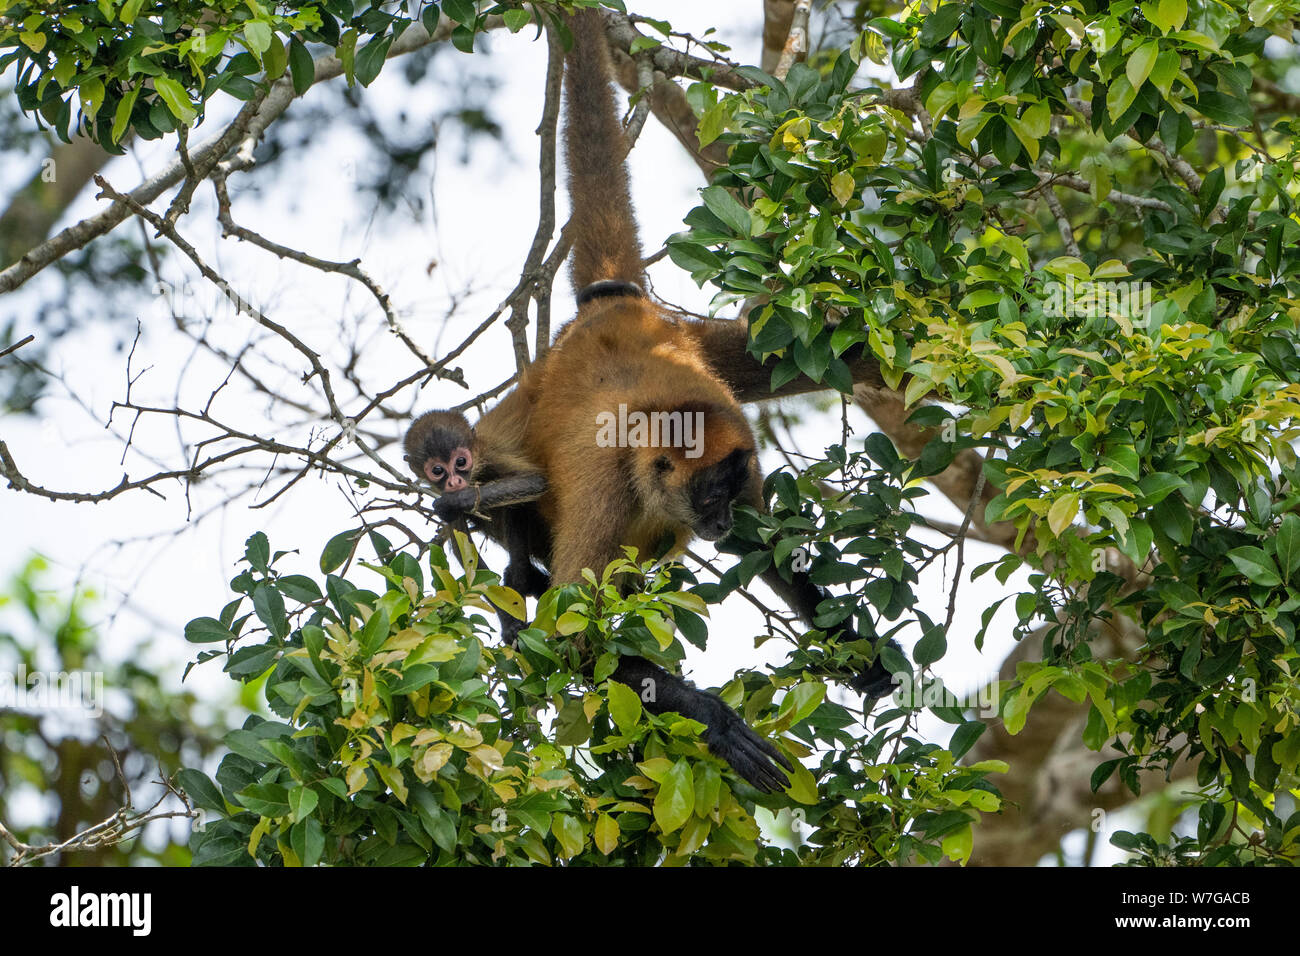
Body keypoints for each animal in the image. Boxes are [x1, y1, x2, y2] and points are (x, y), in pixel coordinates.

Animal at [405, 11, 894, 796]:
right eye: (707, 498)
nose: (719, 520)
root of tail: (615, 311)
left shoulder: (739, 446)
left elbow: (766, 544)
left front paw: (854, 647)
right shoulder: (610, 490)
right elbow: (573, 639)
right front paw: (718, 722)